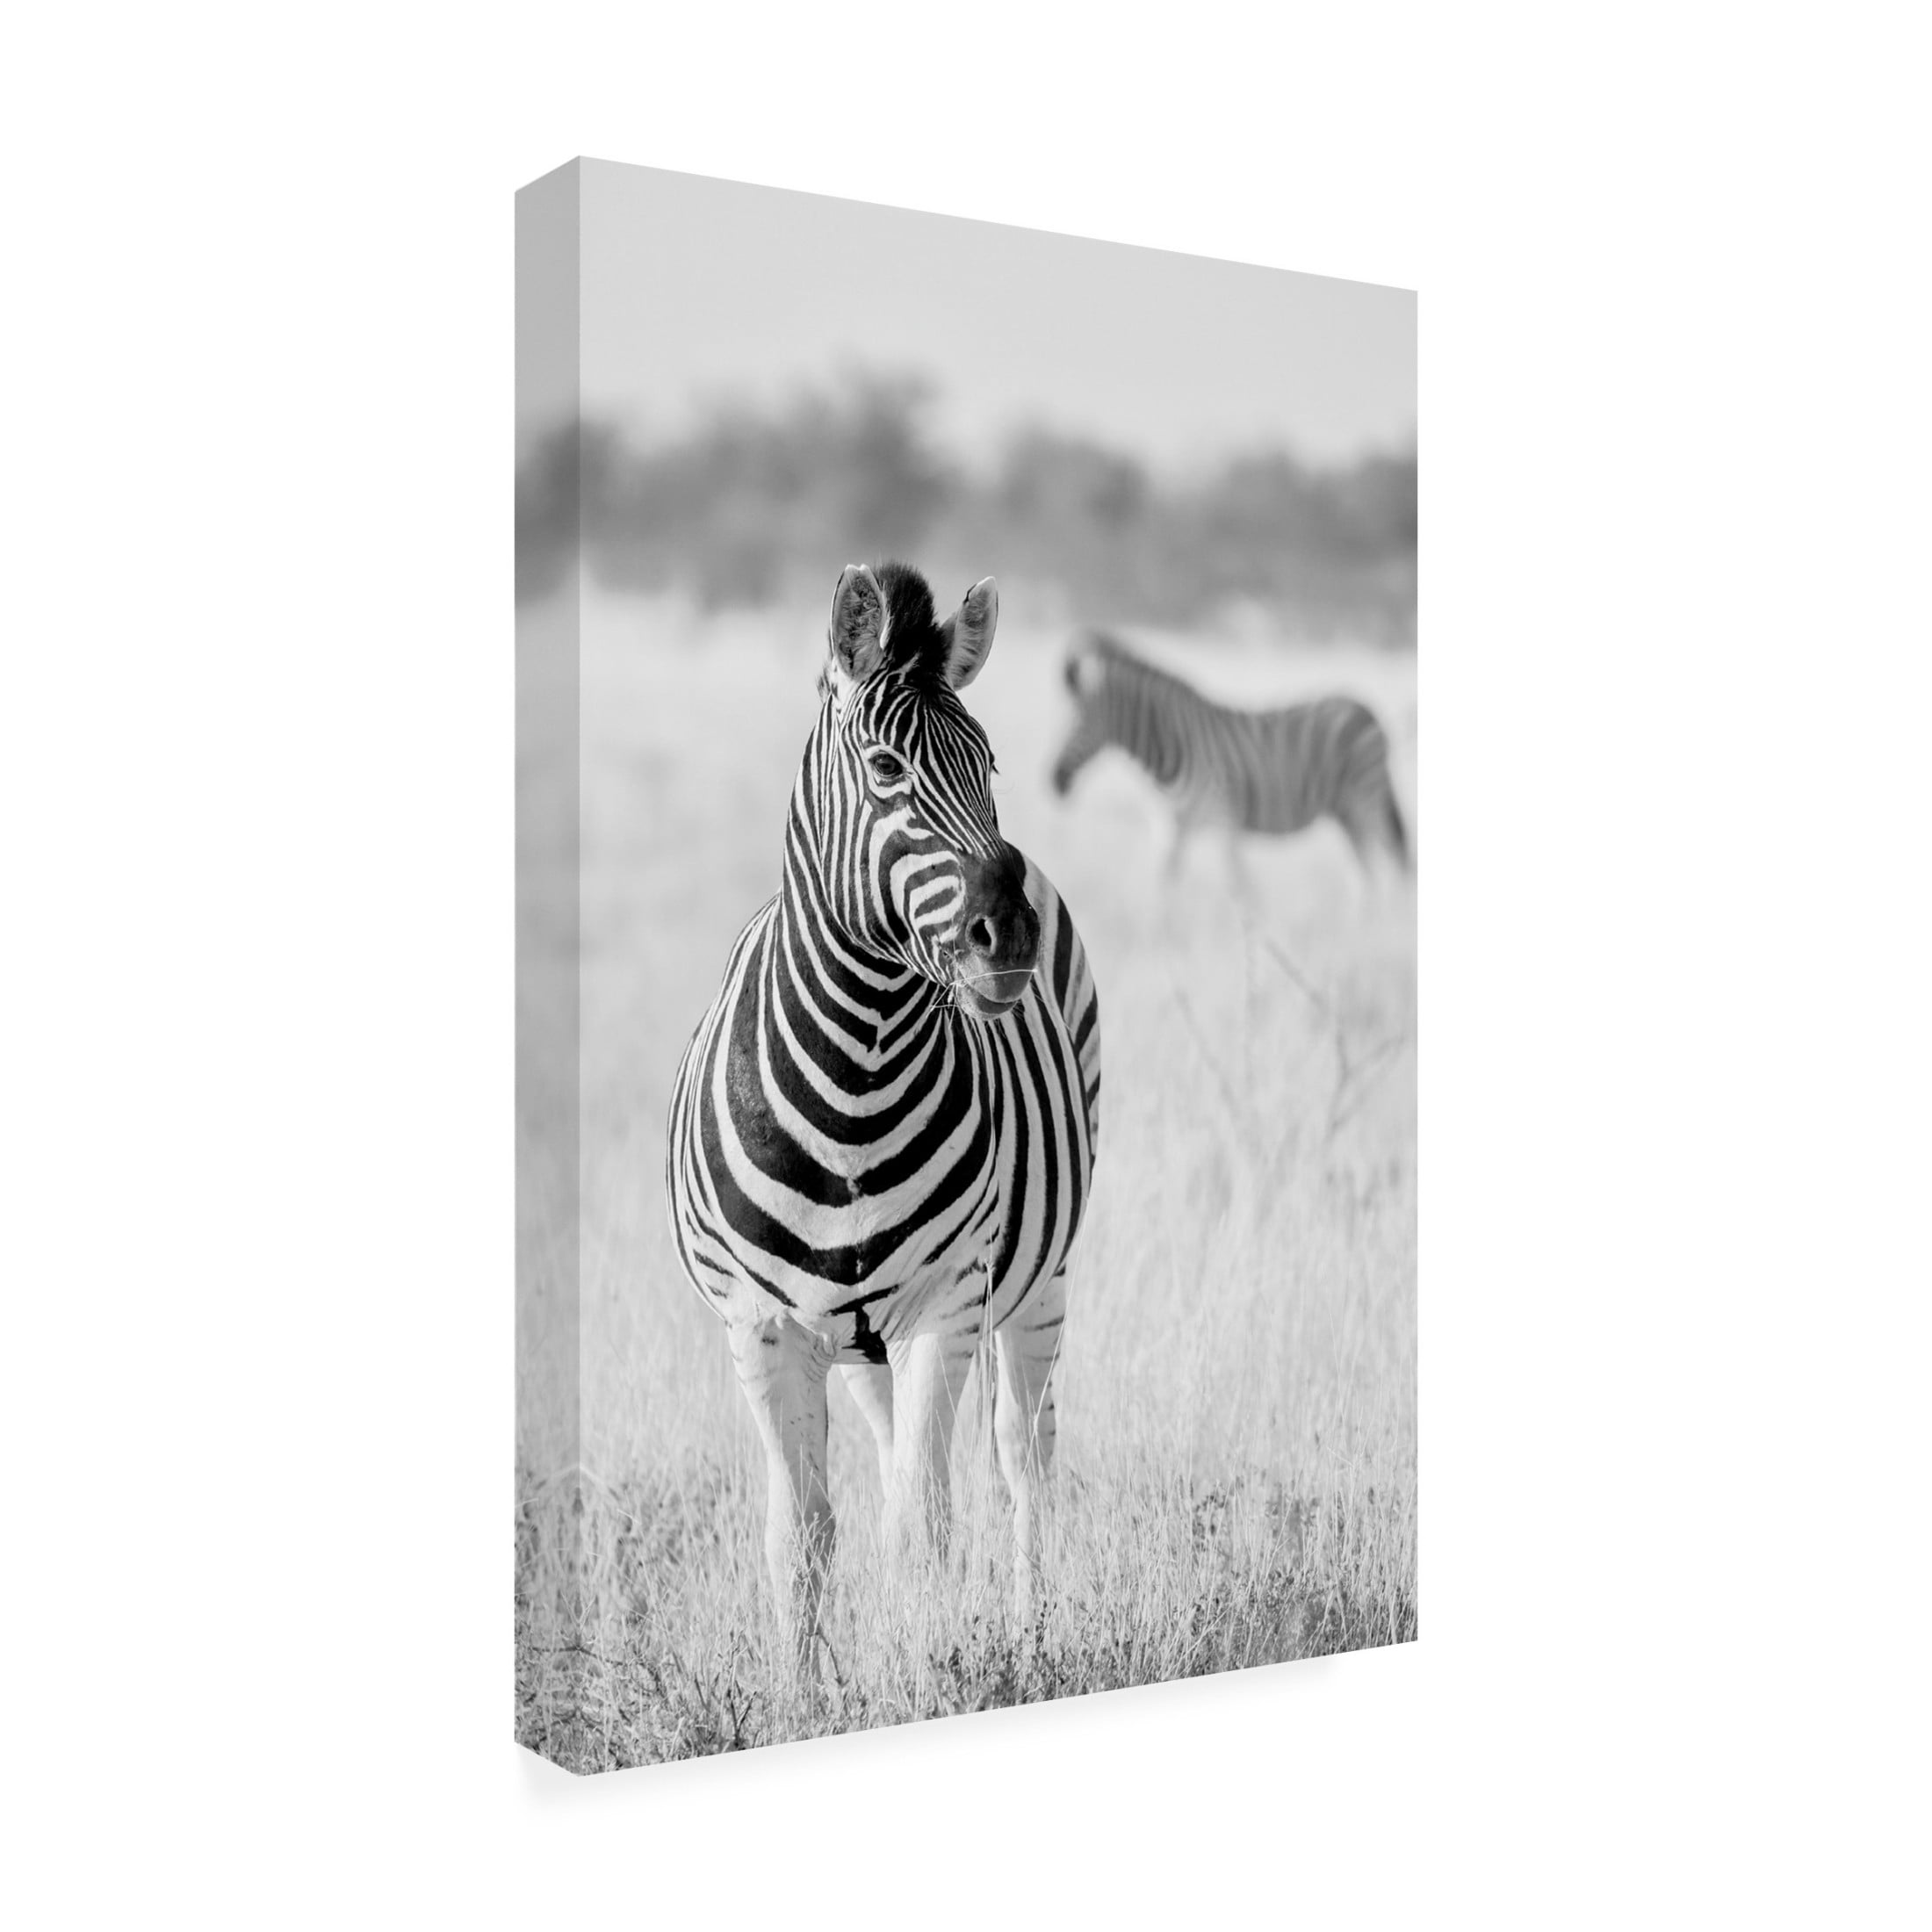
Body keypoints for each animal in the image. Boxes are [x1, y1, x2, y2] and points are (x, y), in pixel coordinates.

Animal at [665, 561, 1101, 1663]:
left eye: (988, 763)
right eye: (885, 767)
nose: (1008, 936)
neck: (850, 1078)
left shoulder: (943, 1309)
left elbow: (921, 1524)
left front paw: (923, 1673)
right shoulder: (762, 1328)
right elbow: (801, 1534)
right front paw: (807, 1689)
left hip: (1038, 1279)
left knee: (1022, 1459)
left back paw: (1032, 1636)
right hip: (857, 1338)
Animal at [1050, 628, 1412, 880]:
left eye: (1076, 723)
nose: (1054, 781)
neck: (1172, 745)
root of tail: (1365, 709)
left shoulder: (1226, 821)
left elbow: (1240, 888)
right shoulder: (1172, 827)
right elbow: (1164, 885)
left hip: (1366, 798)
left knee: (1396, 863)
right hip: (1346, 812)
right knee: (1367, 874)